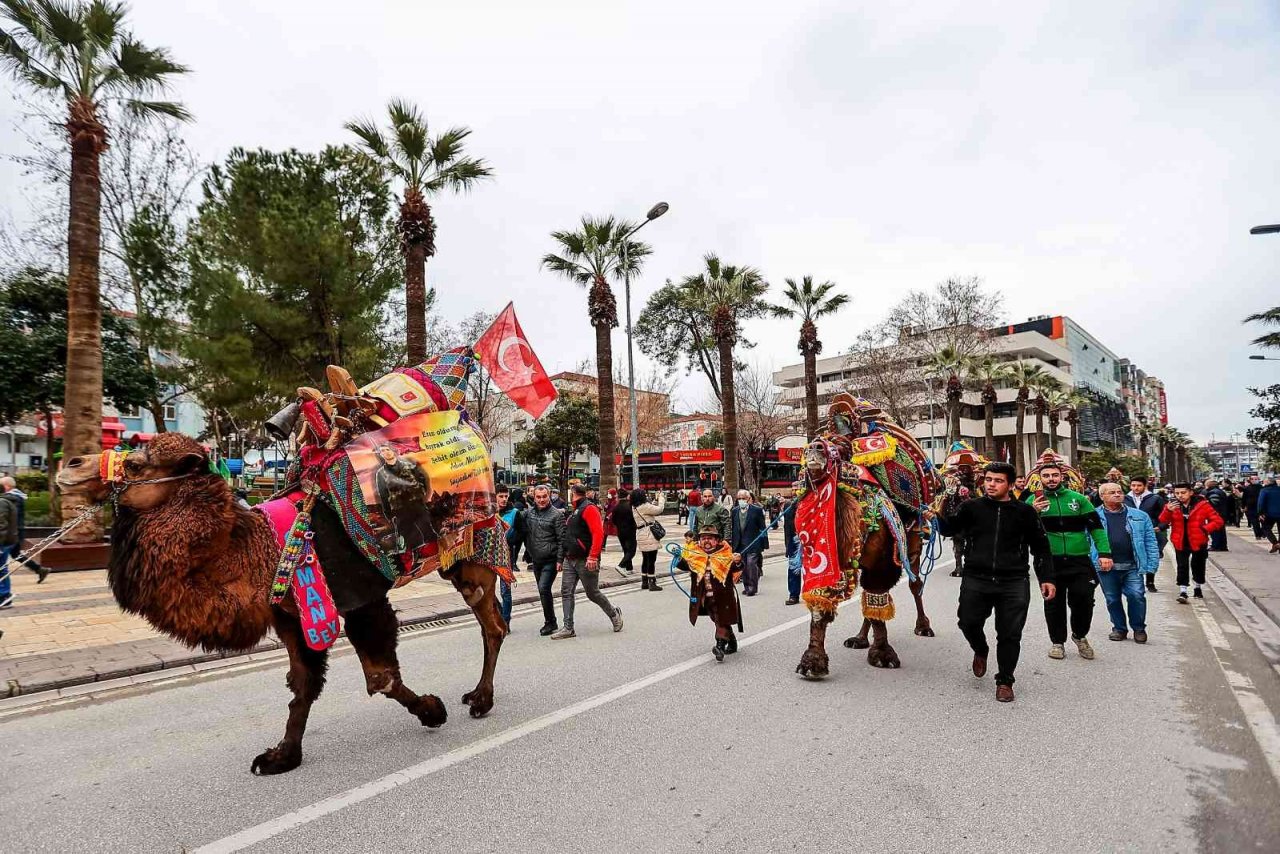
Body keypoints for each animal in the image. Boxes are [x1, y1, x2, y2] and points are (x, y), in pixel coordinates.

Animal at [55, 343, 532, 778]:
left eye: (137, 463)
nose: (70, 464)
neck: (262, 551)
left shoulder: (359, 596)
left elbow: (380, 678)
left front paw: (433, 711)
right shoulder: (292, 615)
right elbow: (301, 686)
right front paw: (281, 756)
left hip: (476, 548)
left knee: (492, 622)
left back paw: (481, 699)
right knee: (492, 619)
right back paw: (478, 695)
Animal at [788, 396, 942, 681]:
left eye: (841, 448)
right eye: (816, 442)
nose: (814, 448)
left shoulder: (883, 561)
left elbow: (877, 597)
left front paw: (883, 654)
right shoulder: (820, 556)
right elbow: (820, 604)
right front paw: (812, 661)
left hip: (914, 545)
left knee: (915, 584)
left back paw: (923, 626)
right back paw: (859, 639)